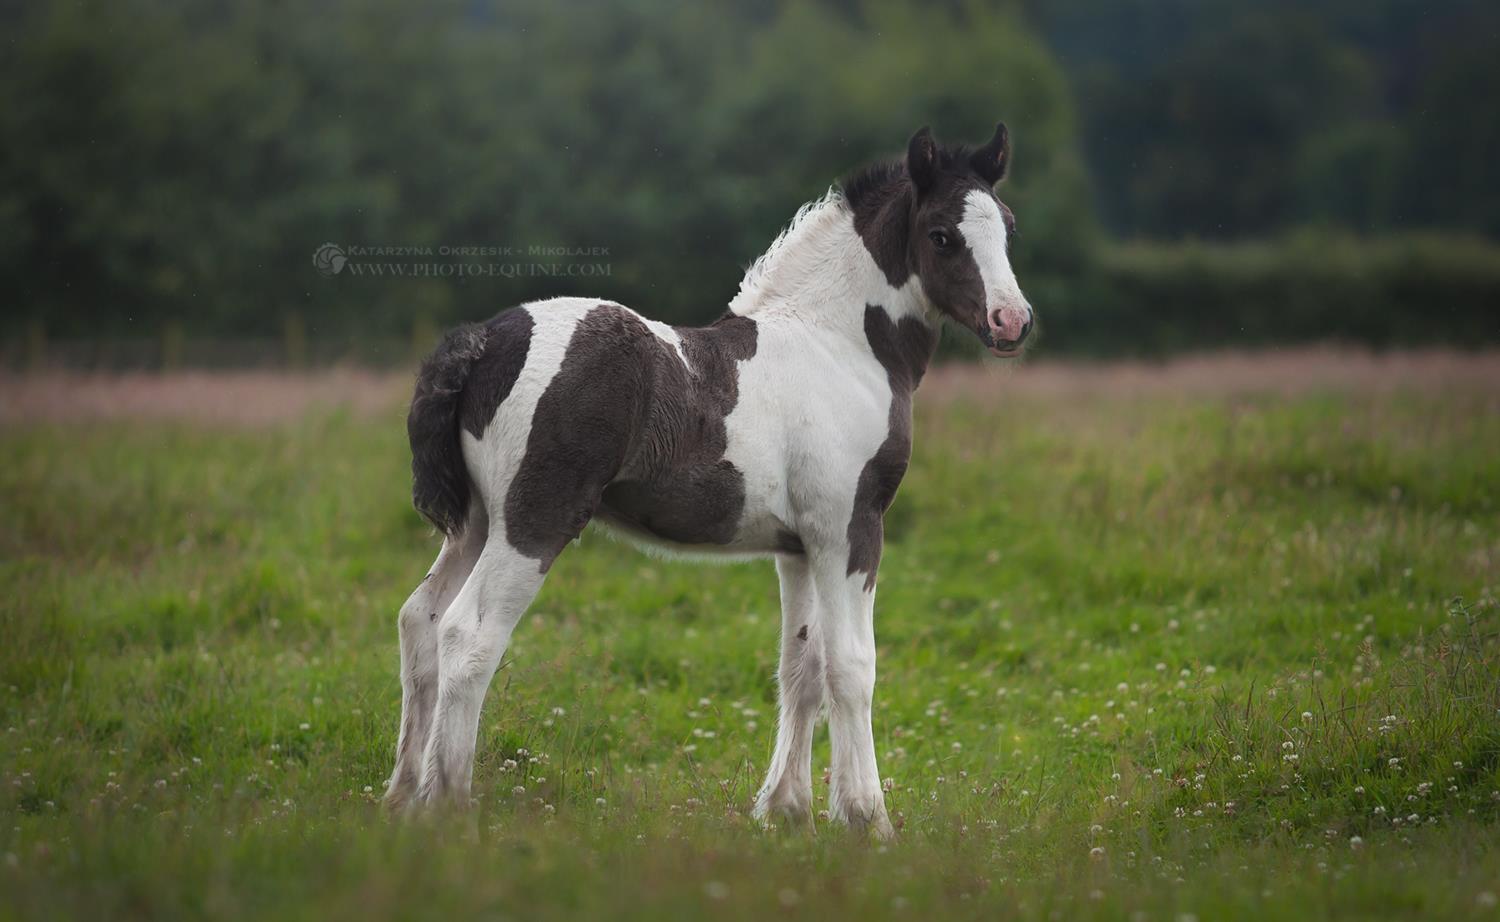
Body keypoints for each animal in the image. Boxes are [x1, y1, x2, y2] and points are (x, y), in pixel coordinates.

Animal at [387, 122, 1032, 839]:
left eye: (1006, 225)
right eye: (943, 235)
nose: (1012, 322)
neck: (839, 343)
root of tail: (482, 341)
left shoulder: (799, 548)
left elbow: (802, 667)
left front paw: (786, 810)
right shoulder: (850, 529)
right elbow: (852, 666)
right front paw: (868, 819)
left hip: (476, 524)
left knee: (420, 621)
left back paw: (402, 801)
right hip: (534, 521)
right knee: (467, 636)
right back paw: (448, 806)